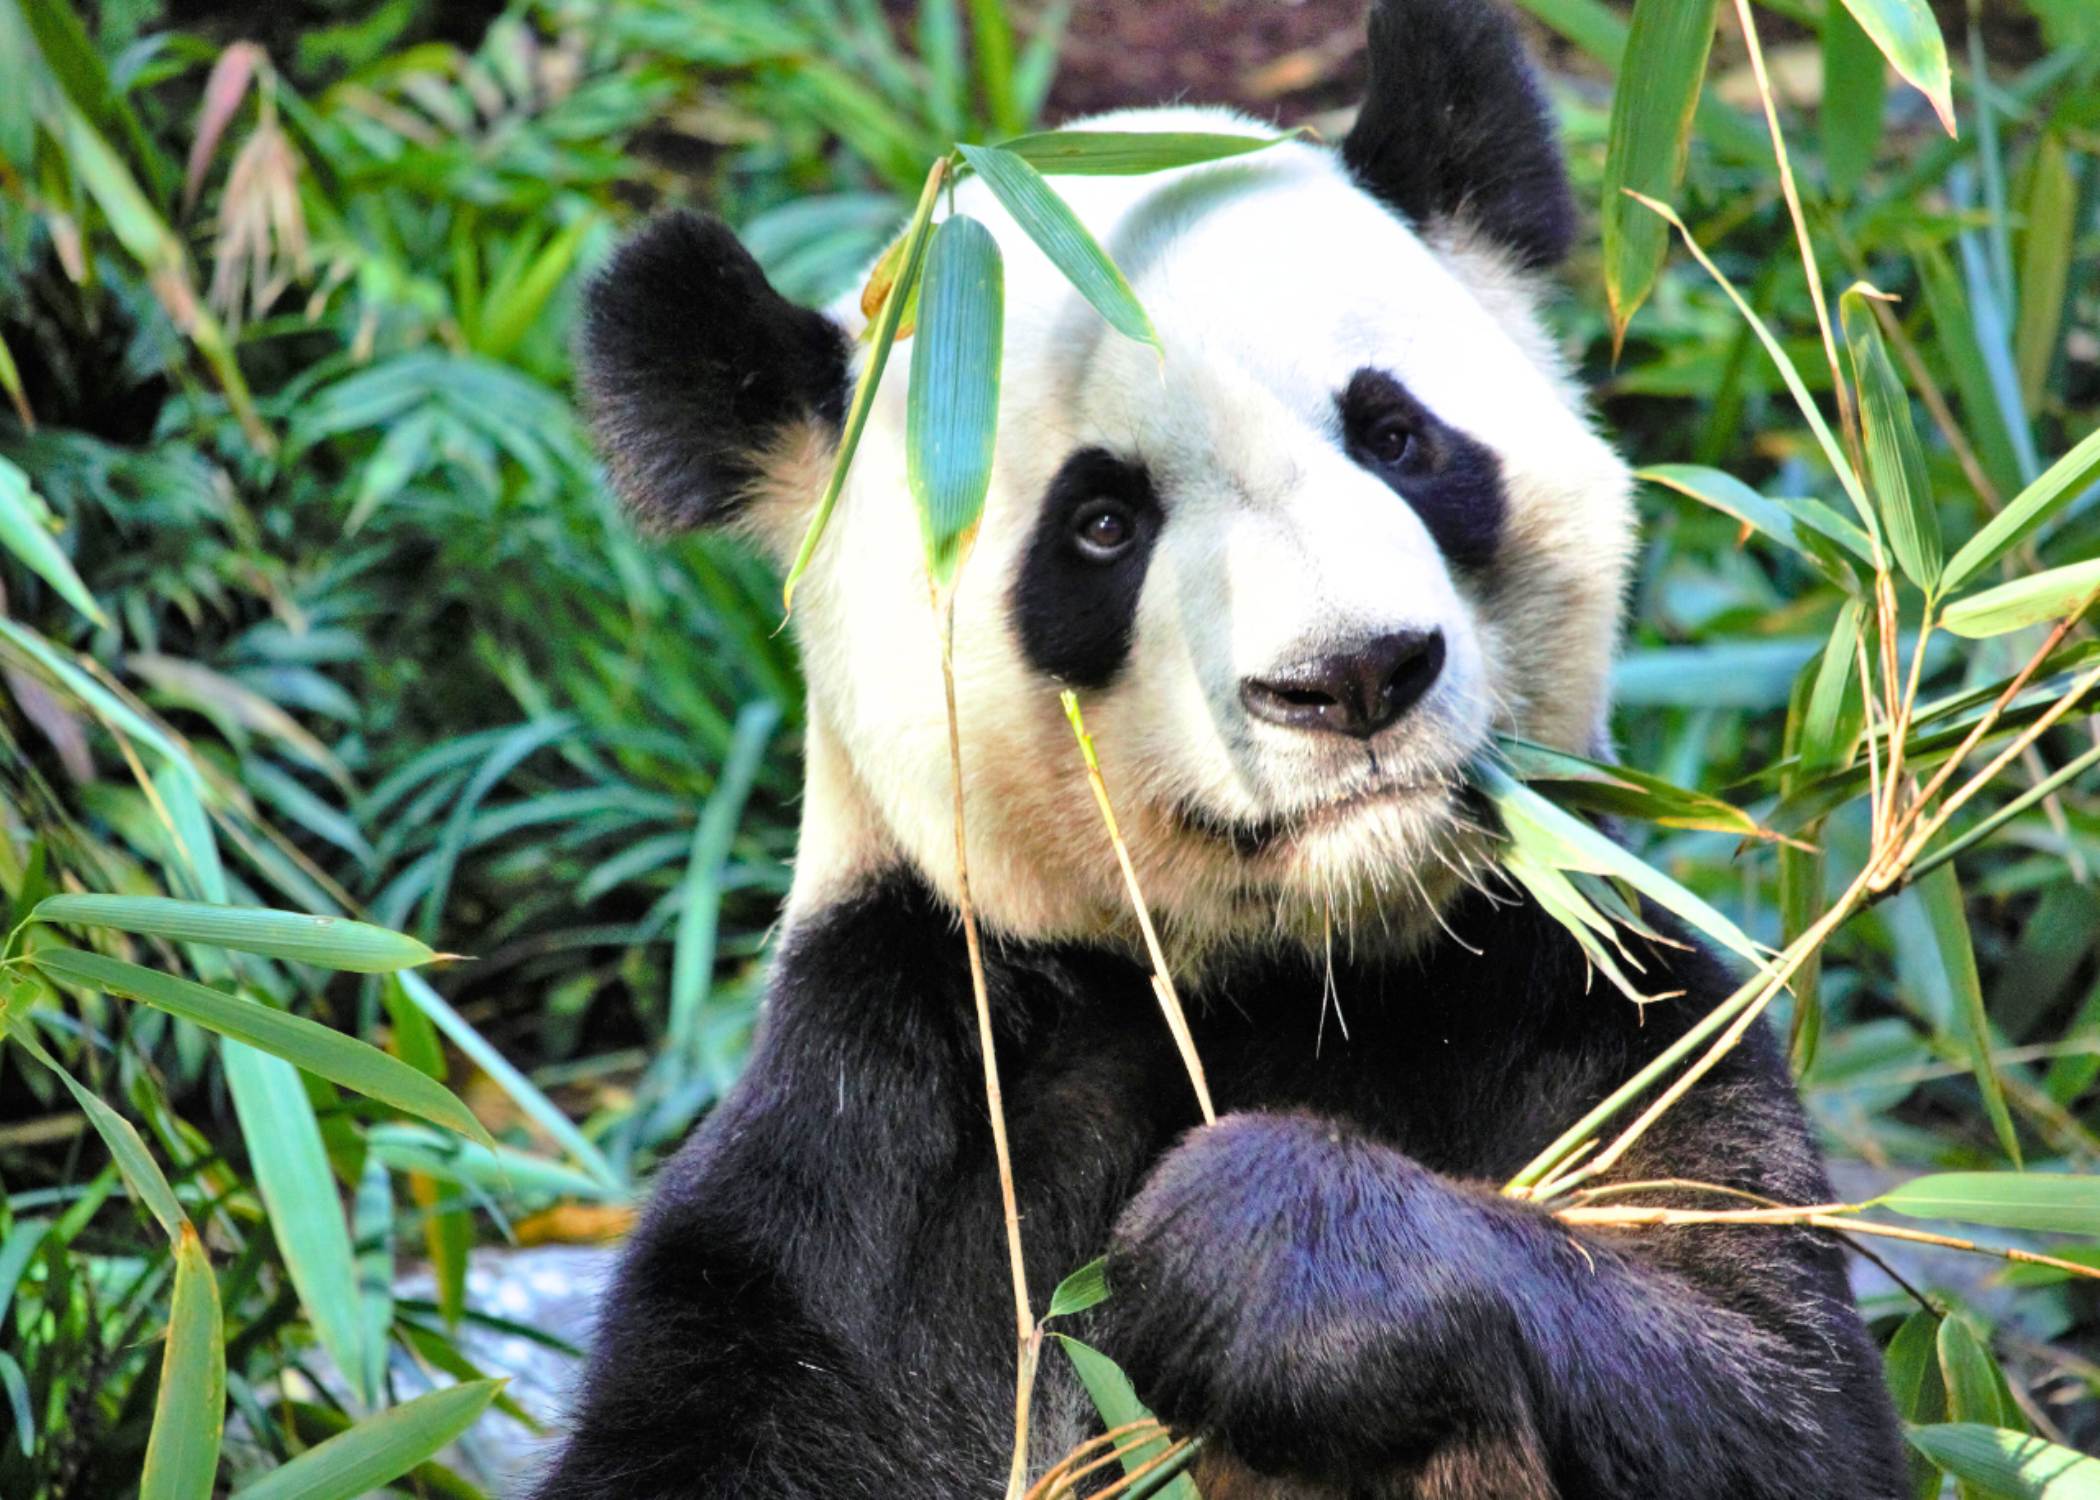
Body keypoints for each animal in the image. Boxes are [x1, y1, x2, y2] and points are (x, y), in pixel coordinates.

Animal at [536, 1, 1910, 1495]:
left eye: (1398, 437)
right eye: (1100, 524)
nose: (1352, 676)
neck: (1288, 981)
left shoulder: (1586, 999)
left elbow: (1766, 1383)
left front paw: (1260, 1260)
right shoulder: (897, 1119)